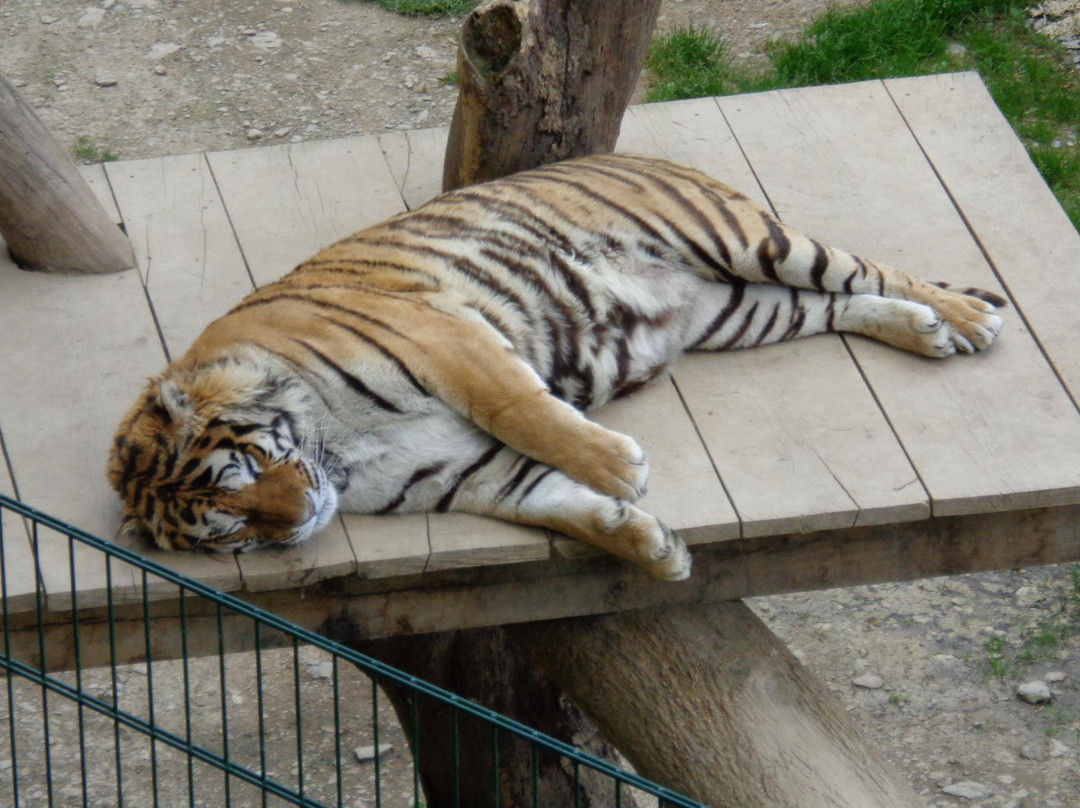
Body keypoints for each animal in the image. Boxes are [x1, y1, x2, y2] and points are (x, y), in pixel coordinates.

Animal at [109, 153, 1002, 578]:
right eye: (233, 528)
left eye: (252, 467)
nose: (298, 518)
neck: (338, 453)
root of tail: (647, 151)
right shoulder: (458, 474)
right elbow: (556, 504)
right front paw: (650, 547)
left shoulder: (445, 337)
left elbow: (524, 410)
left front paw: (619, 468)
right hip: (741, 312)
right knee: (843, 303)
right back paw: (925, 330)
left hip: (747, 241)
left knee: (867, 269)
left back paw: (966, 320)